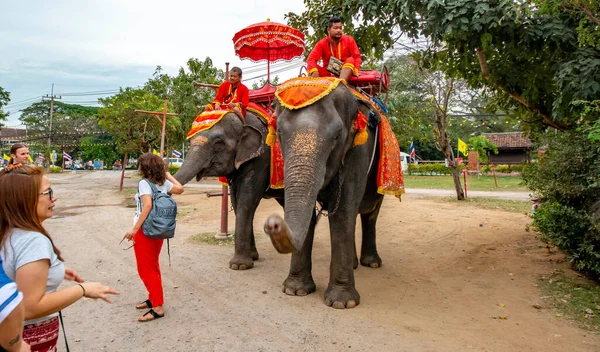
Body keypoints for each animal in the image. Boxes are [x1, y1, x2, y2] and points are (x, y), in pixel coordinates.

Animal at [264, 79, 396, 308]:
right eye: (278, 133)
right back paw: (354, 264)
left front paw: (342, 303)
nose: (273, 223)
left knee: (370, 213)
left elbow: (343, 212)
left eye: (337, 136)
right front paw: (295, 290)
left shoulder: (359, 149)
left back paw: (372, 263)